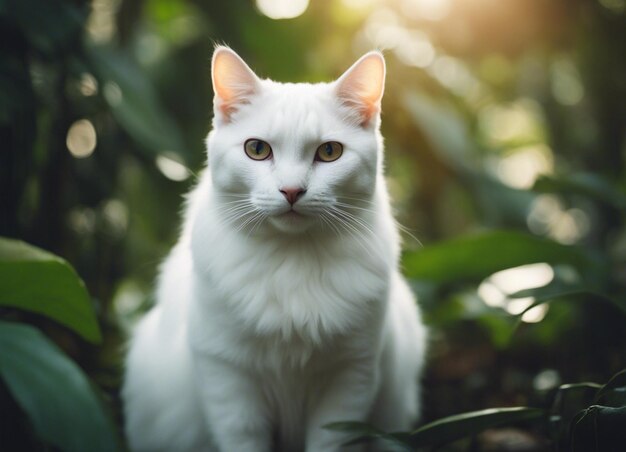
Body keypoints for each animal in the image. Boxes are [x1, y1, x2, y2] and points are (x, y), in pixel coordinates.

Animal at [121, 46, 424, 452]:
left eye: (329, 152)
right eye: (257, 149)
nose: (292, 191)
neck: (291, 261)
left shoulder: (350, 377)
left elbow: (329, 442)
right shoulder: (227, 378)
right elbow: (243, 439)